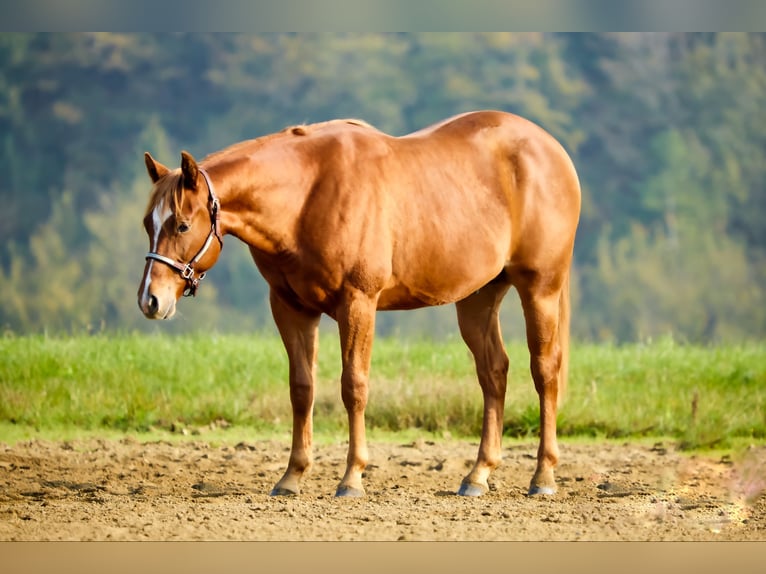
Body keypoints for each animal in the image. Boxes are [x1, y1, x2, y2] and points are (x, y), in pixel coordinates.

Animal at [140, 111, 584, 500]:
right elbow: (302, 389)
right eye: (148, 222)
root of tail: (552, 149)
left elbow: (353, 386)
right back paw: (478, 475)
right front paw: (291, 477)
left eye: (182, 224)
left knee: (545, 372)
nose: (150, 299)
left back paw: (543, 476)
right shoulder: (291, 308)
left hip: (540, 289)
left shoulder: (357, 303)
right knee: (494, 372)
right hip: (478, 298)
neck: (307, 194)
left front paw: (351, 478)